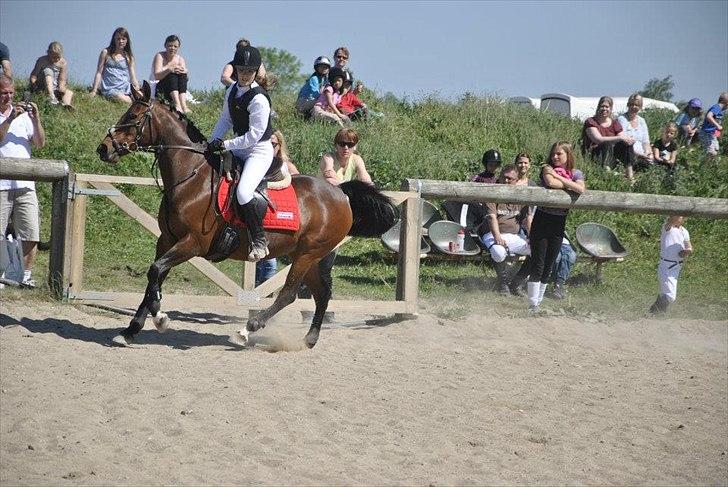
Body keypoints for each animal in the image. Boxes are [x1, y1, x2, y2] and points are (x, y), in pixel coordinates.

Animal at [96, 82, 396, 348]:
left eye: (132, 117)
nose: (103, 149)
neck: (192, 178)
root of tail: (340, 194)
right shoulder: (167, 240)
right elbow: (152, 278)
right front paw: (131, 330)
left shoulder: (192, 243)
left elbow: (156, 271)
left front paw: (160, 318)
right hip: (307, 256)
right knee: (321, 295)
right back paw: (309, 339)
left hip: (308, 254)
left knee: (289, 294)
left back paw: (248, 329)